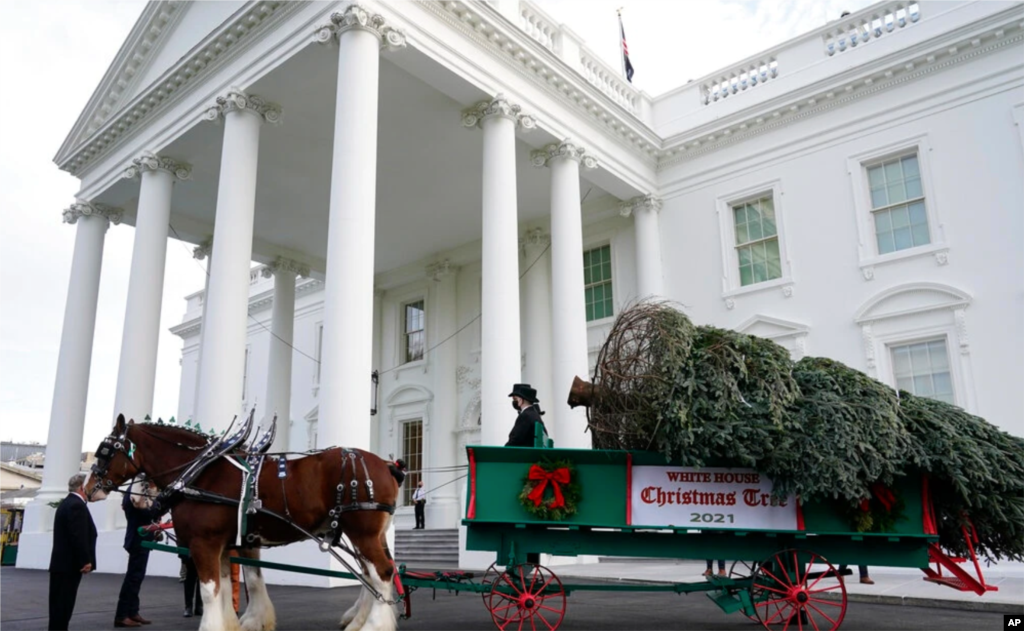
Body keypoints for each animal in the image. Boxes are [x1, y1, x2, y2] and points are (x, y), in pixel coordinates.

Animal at [86, 413, 403, 631]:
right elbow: (233, 585)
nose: (88, 488)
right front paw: (241, 622)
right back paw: (358, 618)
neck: (201, 473)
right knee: (371, 573)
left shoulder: (204, 543)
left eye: (105, 450)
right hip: (362, 535)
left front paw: (213, 626)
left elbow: (210, 591)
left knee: (382, 572)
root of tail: (388, 465)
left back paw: (372, 625)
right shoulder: (228, 544)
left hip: (361, 532)